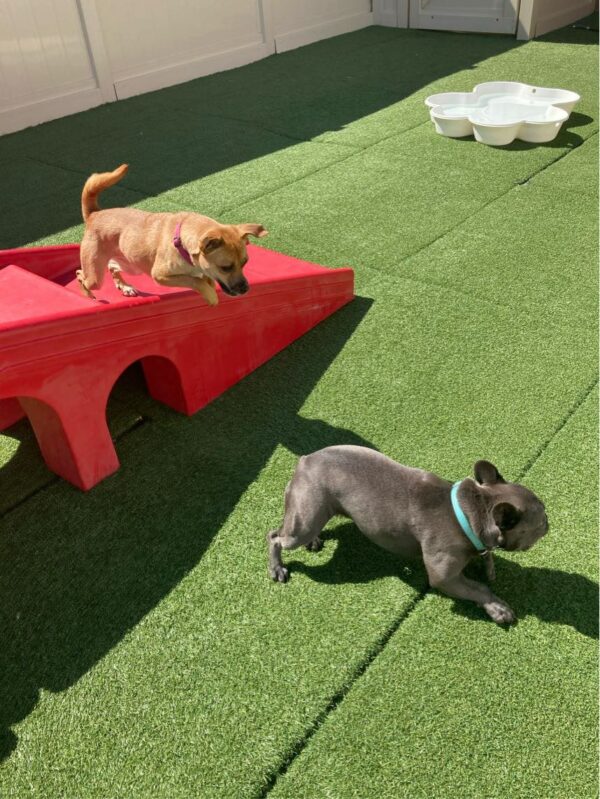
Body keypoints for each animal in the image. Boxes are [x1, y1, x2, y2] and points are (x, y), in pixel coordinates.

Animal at [76, 164, 268, 304]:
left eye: (245, 263)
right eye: (225, 267)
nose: (245, 288)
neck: (182, 243)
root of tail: (94, 214)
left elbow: (205, 278)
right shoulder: (160, 275)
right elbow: (194, 281)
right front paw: (211, 296)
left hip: (131, 264)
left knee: (112, 266)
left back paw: (125, 286)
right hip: (96, 276)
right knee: (81, 275)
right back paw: (87, 293)